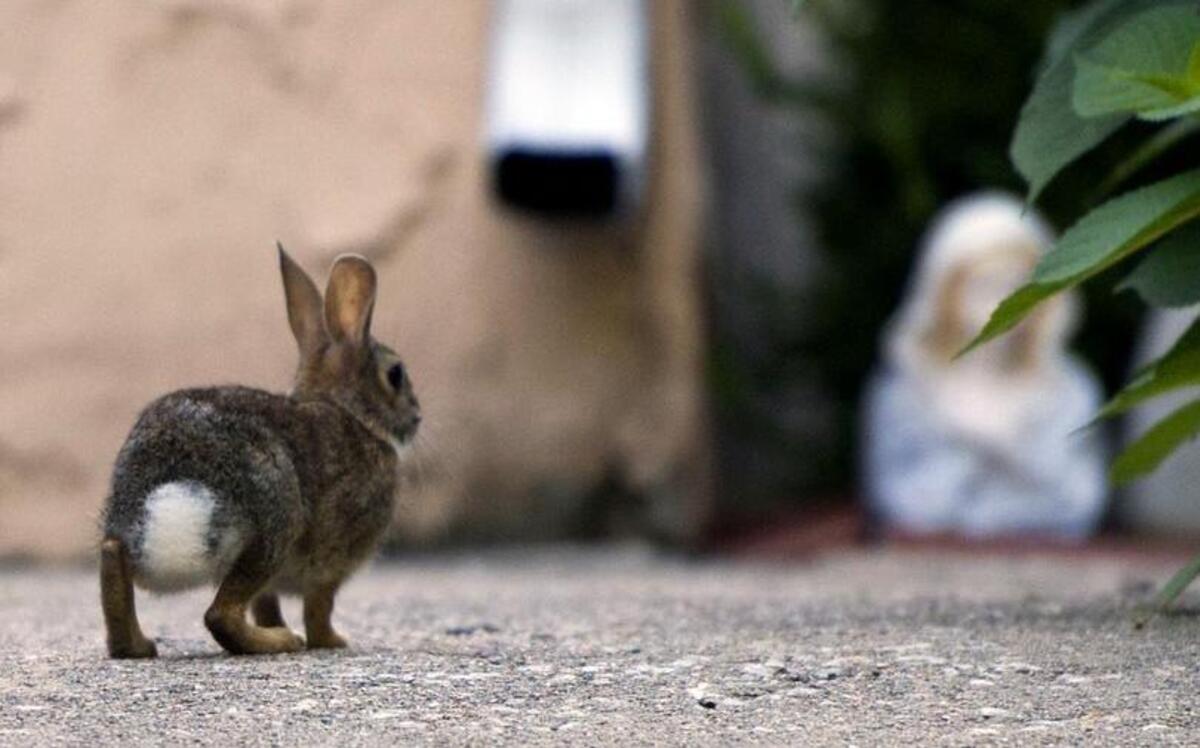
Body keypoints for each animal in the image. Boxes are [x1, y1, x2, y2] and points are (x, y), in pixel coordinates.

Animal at [99, 245, 420, 658]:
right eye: (395, 375)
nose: (417, 417)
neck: (351, 412)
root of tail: (170, 488)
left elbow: (268, 604)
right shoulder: (330, 563)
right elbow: (318, 608)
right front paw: (332, 642)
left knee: (113, 558)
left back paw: (138, 645)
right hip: (276, 525)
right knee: (220, 615)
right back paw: (280, 642)